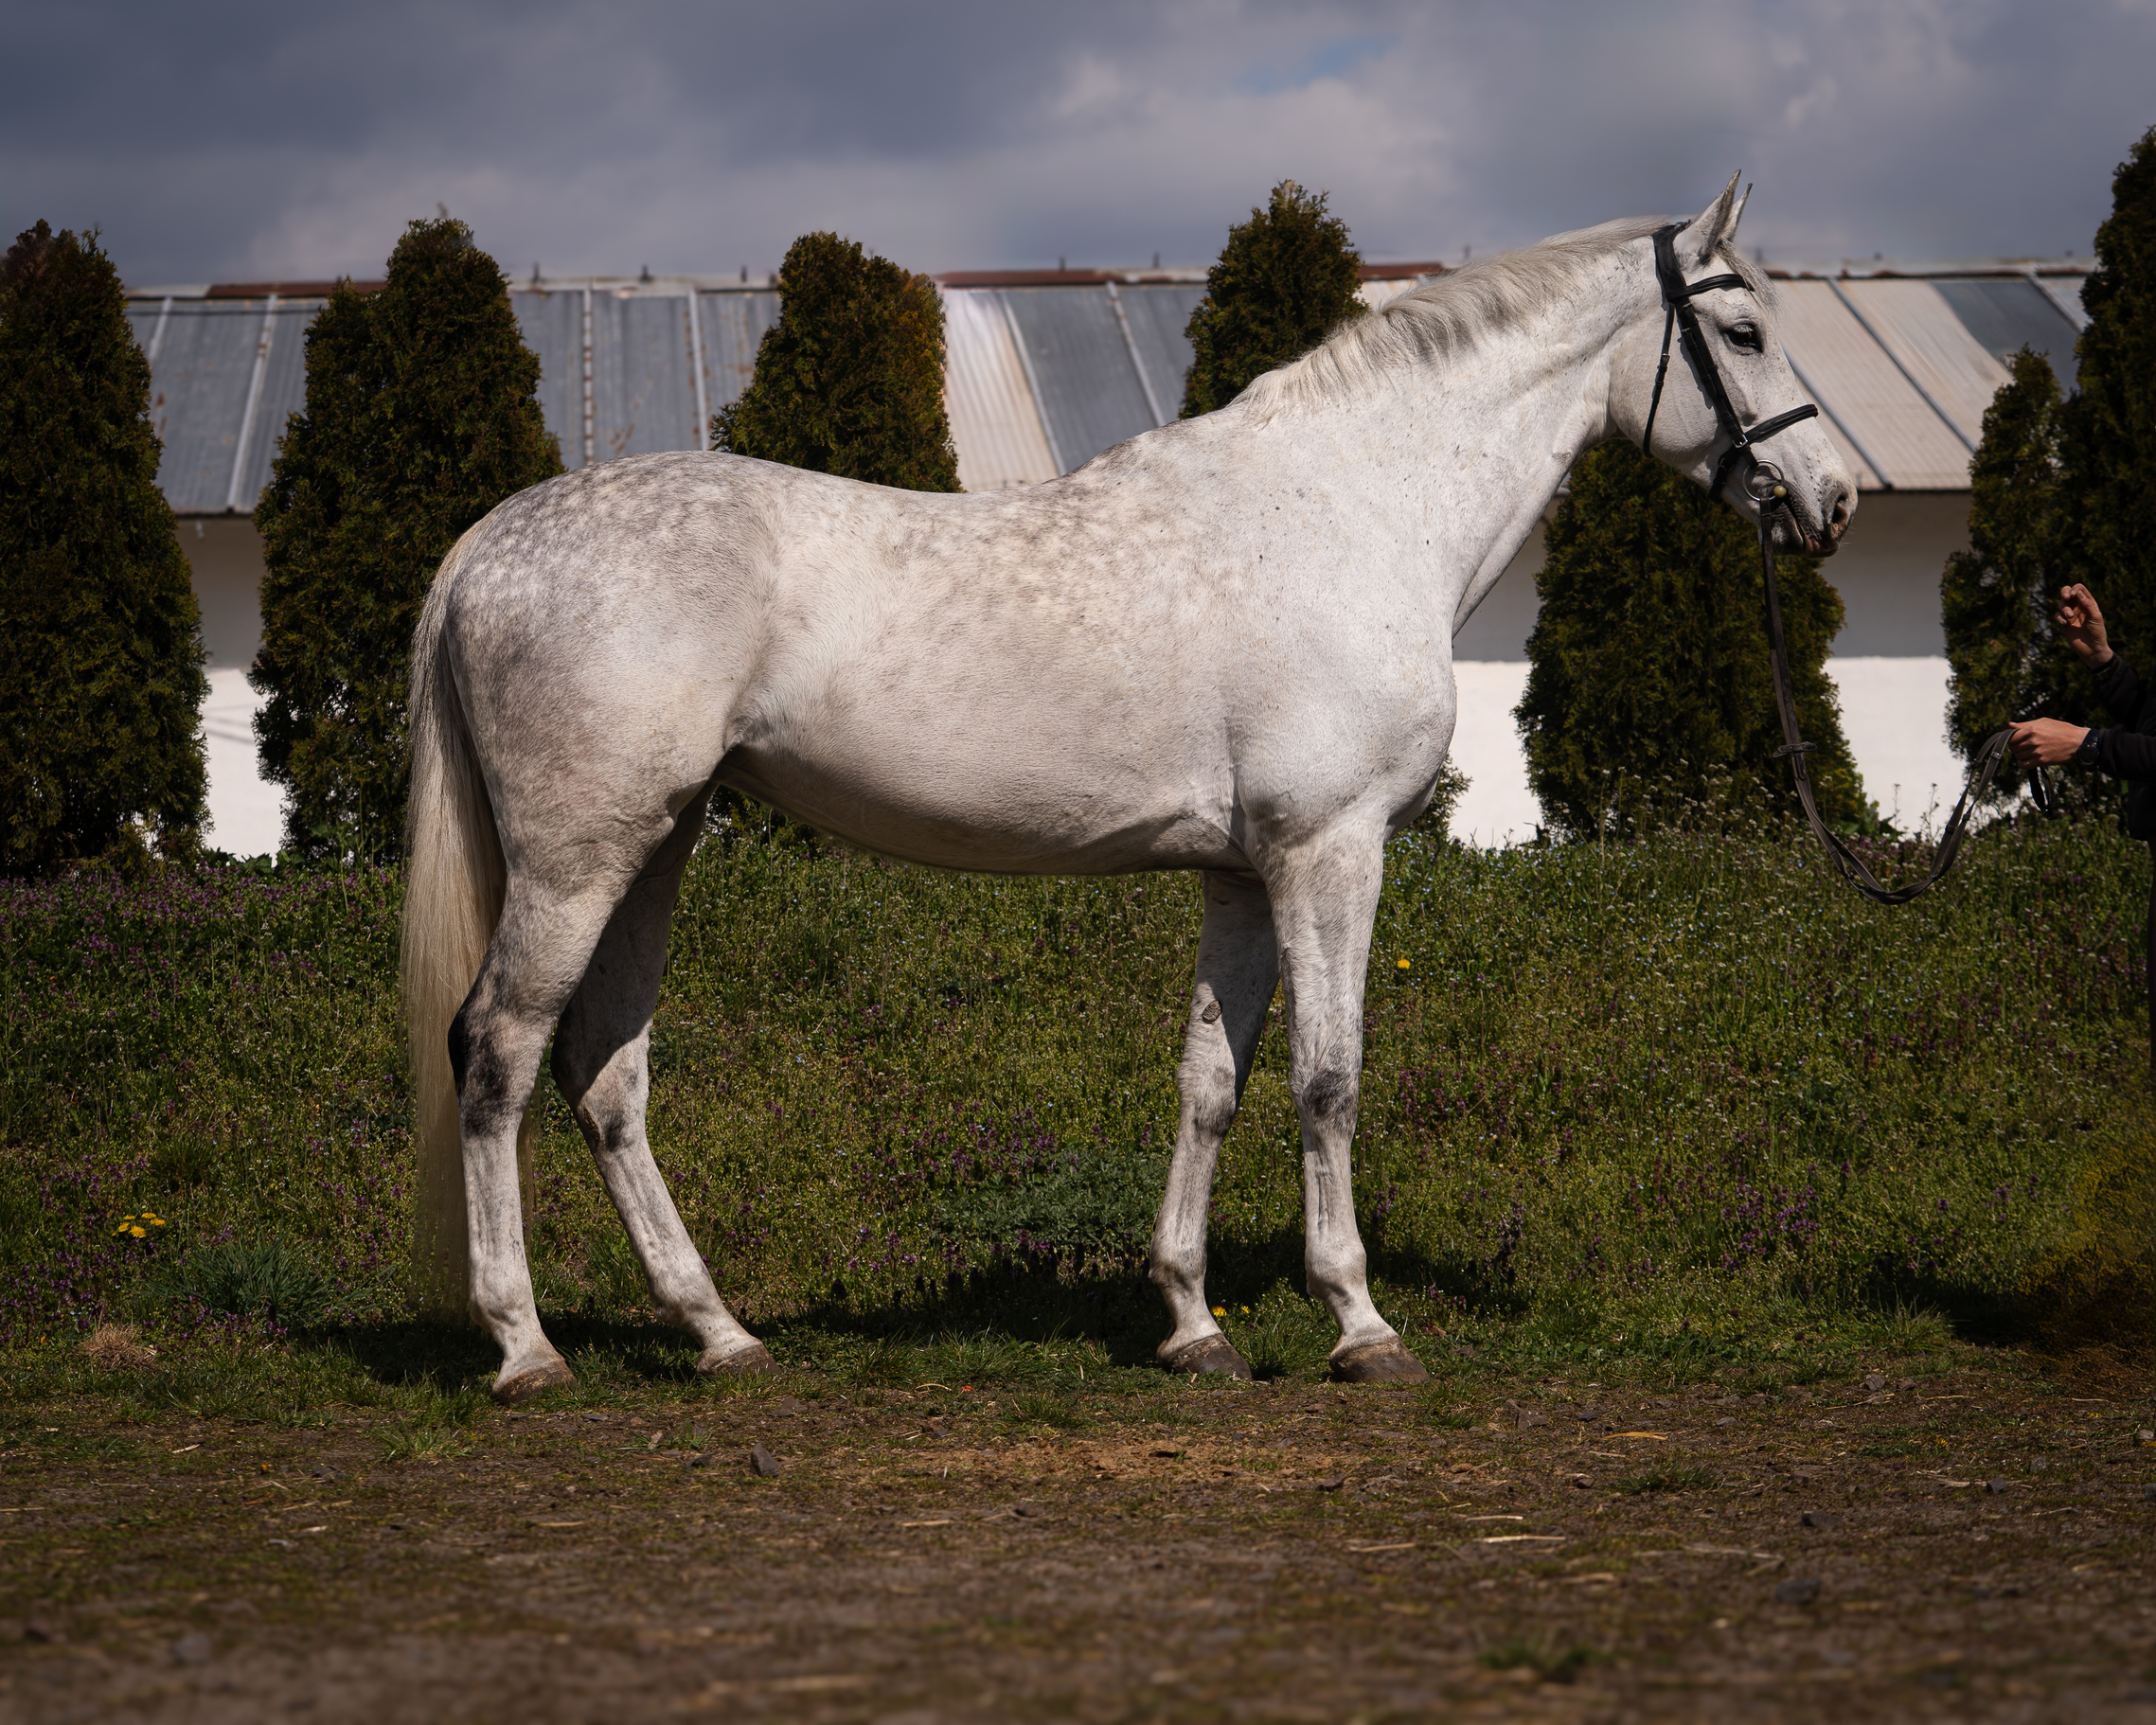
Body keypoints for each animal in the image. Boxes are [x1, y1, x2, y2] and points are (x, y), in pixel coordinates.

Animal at [401, 174, 1855, 1401]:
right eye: (1739, 328)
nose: (1829, 499)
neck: (1355, 510)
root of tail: (487, 542)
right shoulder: (1329, 853)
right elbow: (1329, 1079)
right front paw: (1361, 1323)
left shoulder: (1243, 875)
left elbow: (1212, 1080)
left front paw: (1194, 1323)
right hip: (577, 860)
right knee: (501, 1050)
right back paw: (527, 1350)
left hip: (653, 849)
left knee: (605, 1074)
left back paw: (720, 1334)